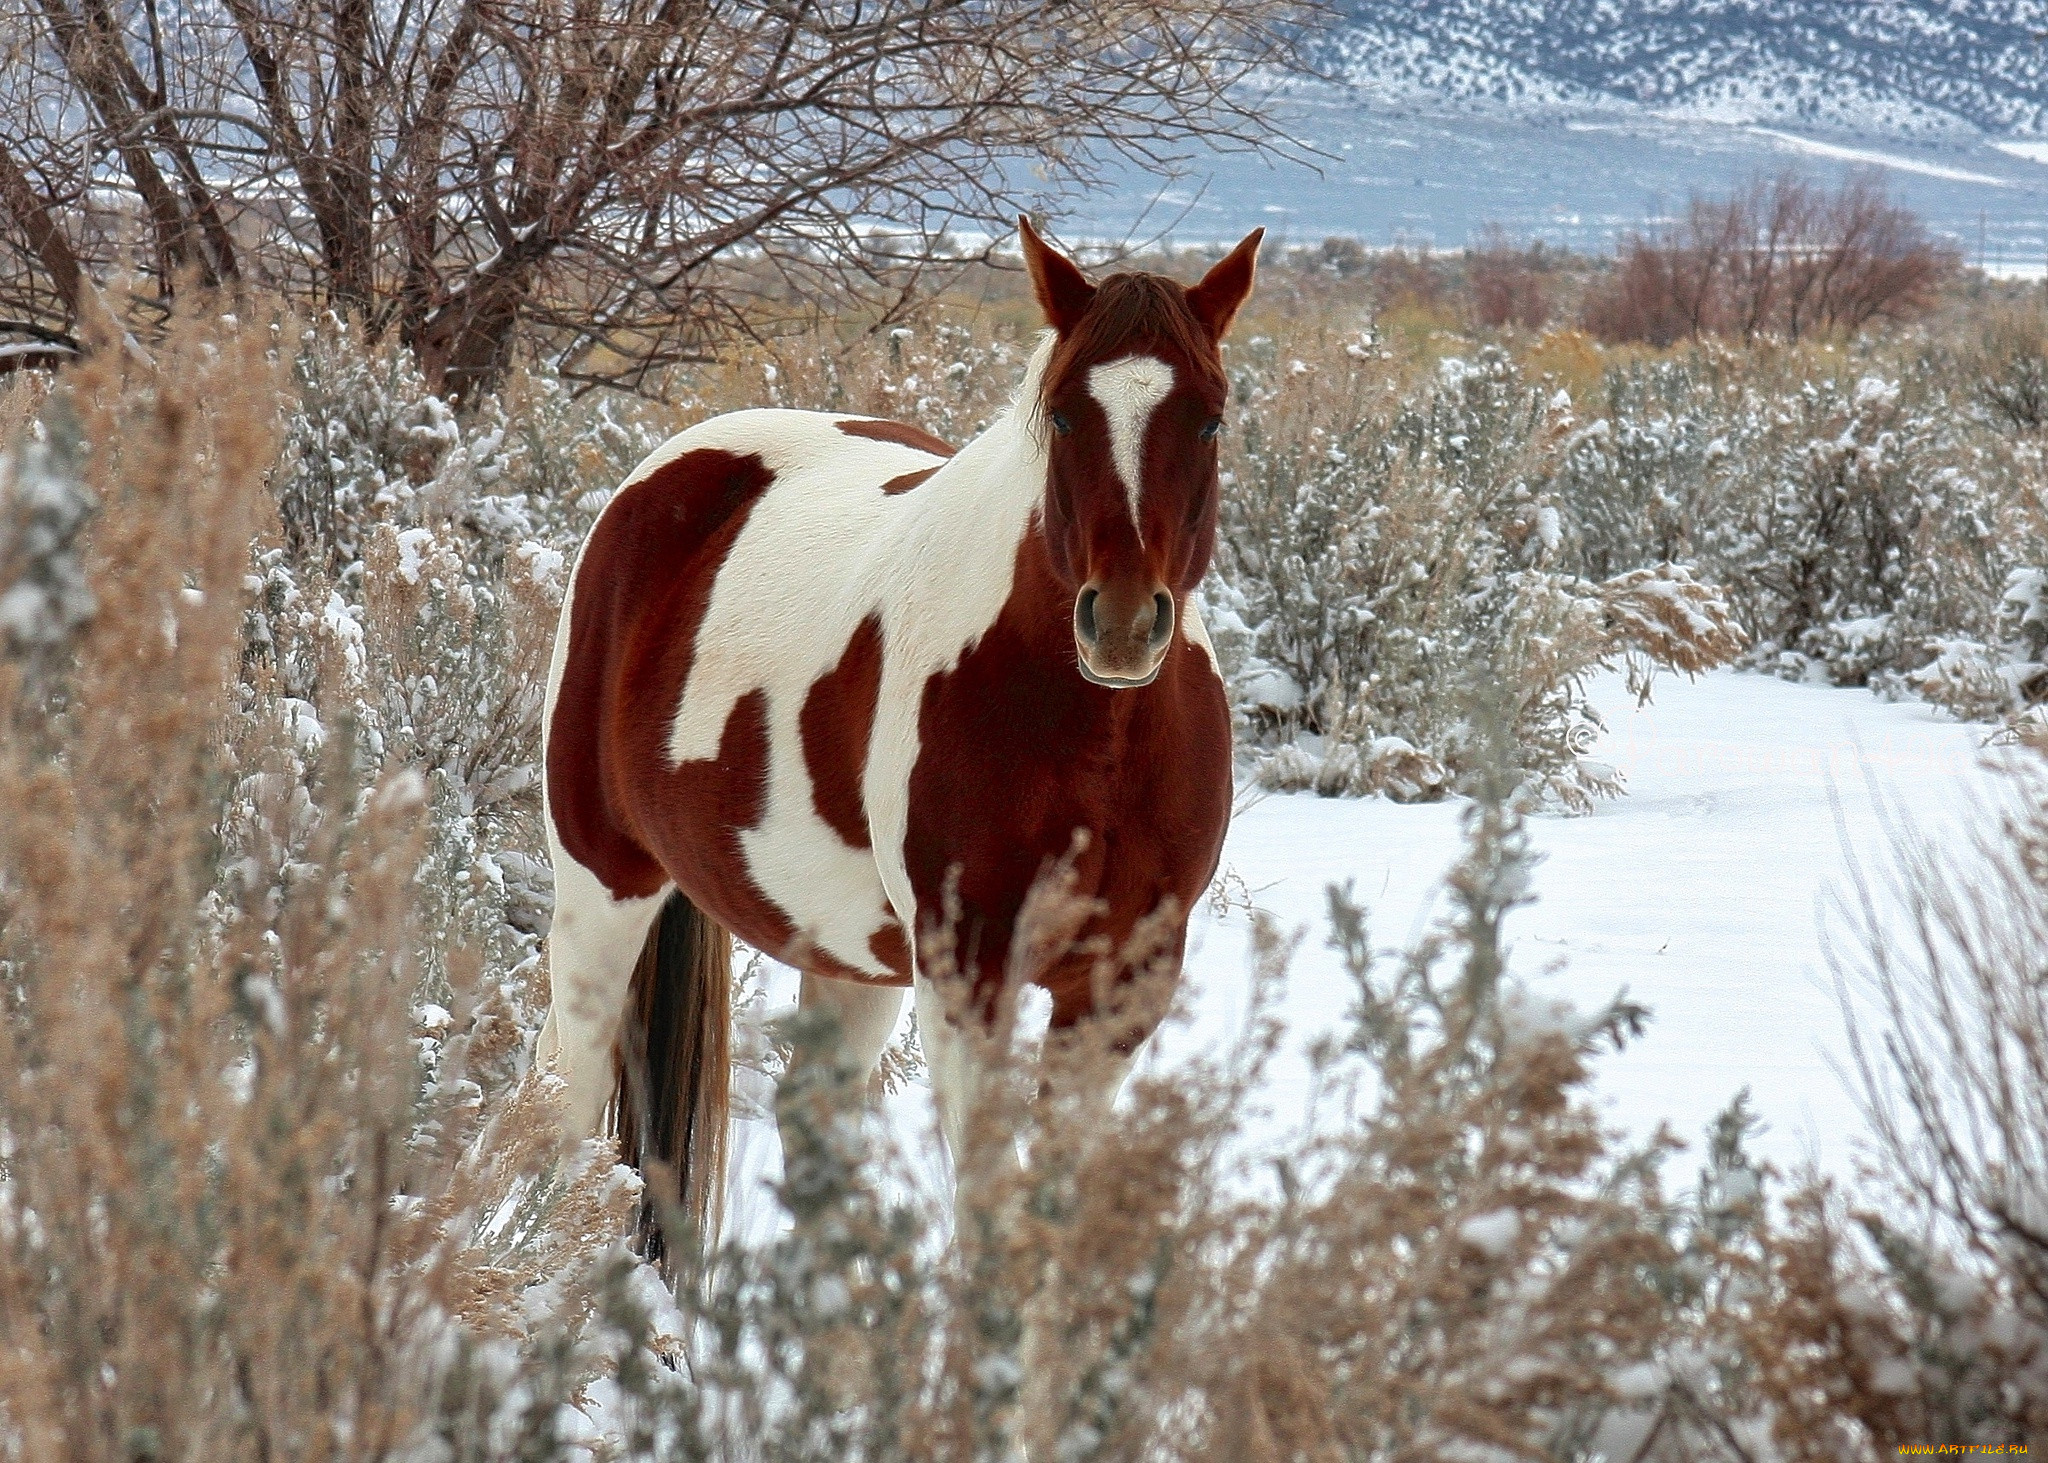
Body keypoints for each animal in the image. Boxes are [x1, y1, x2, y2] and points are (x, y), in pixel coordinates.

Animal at [536, 219, 1253, 1245]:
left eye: (1209, 419)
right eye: (1064, 416)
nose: (1120, 622)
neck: (1092, 731)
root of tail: (665, 475)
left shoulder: (1122, 983)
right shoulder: (969, 978)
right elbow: (988, 1211)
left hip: (850, 956)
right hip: (602, 885)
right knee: (569, 1093)